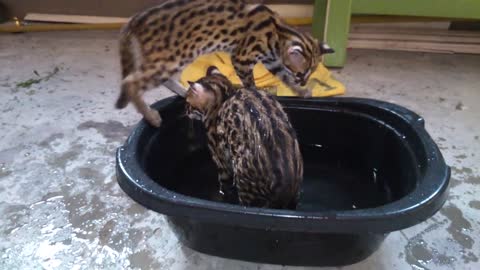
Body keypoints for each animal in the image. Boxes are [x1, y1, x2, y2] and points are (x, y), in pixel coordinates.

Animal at [185, 66, 302, 210]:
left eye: (187, 102)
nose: (186, 111)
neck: (225, 95)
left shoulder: (220, 158)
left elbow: (224, 185)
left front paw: (223, 194)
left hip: (244, 181)